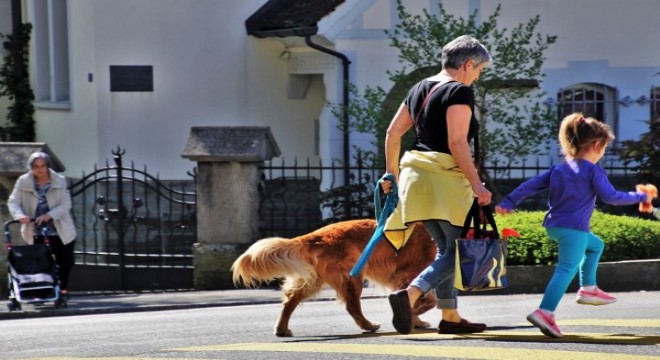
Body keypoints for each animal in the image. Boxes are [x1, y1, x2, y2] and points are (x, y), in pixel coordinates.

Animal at [232, 217, 438, 338]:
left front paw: (415, 320)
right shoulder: (408, 274)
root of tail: (316, 236)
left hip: (314, 280)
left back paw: (281, 329)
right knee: (352, 306)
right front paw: (413, 316)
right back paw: (368, 325)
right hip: (352, 277)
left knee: (290, 300)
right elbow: (427, 301)